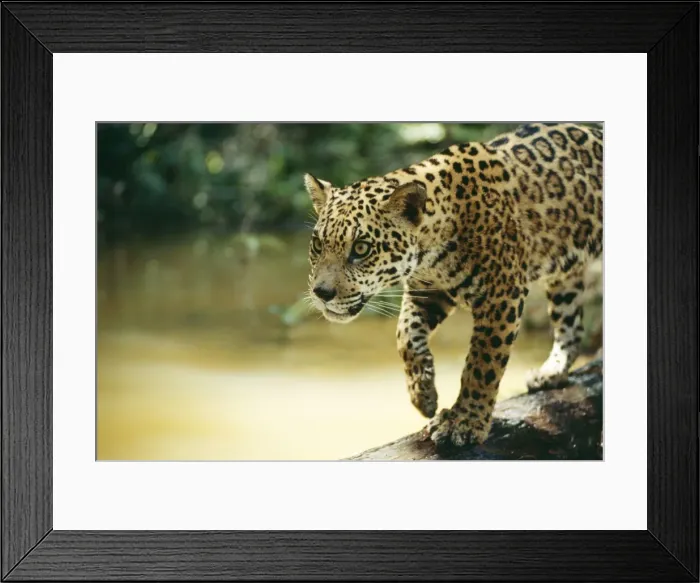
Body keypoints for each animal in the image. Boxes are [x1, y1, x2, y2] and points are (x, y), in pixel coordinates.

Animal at [304, 123, 603, 448]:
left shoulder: (501, 296)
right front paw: (423, 394)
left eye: (361, 248)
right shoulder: (427, 290)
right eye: (318, 244)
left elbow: (482, 364)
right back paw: (552, 372)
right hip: (564, 276)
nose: (322, 293)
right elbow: (405, 336)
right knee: (571, 322)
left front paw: (465, 421)